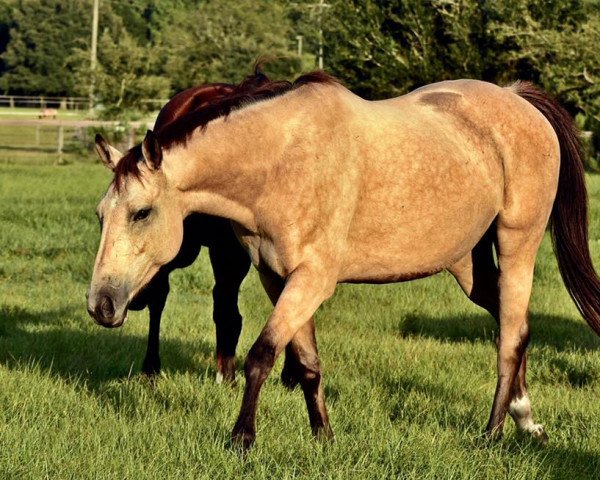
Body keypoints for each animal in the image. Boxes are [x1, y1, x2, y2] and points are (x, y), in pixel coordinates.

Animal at [86, 69, 600, 448]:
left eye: (142, 212)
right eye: (100, 215)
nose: (101, 304)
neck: (281, 160)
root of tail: (518, 99)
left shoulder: (312, 278)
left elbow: (261, 355)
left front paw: (242, 439)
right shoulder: (278, 277)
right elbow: (306, 363)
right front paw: (323, 436)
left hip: (518, 244)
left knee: (511, 335)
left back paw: (492, 433)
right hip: (467, 263)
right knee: (513, 322)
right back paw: (524, 418)